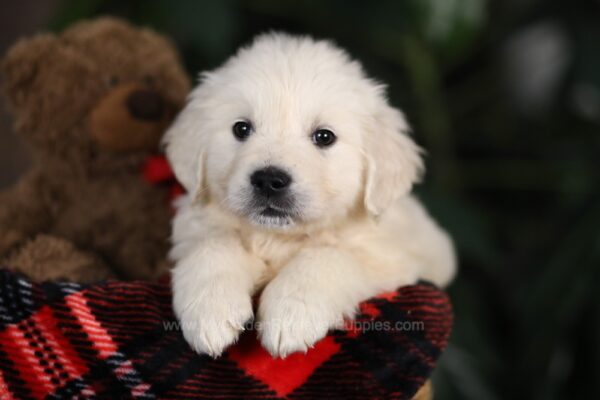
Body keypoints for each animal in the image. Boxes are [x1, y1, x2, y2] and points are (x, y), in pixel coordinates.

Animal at [164, 32, 454, 358]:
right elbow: (214, 245)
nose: (269, 180)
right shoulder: (194, 226)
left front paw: (290, 316)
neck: (277, 238)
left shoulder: (391, 257)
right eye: (241, 129)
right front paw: (210, 310)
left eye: (324, 136)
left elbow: (329, 256)